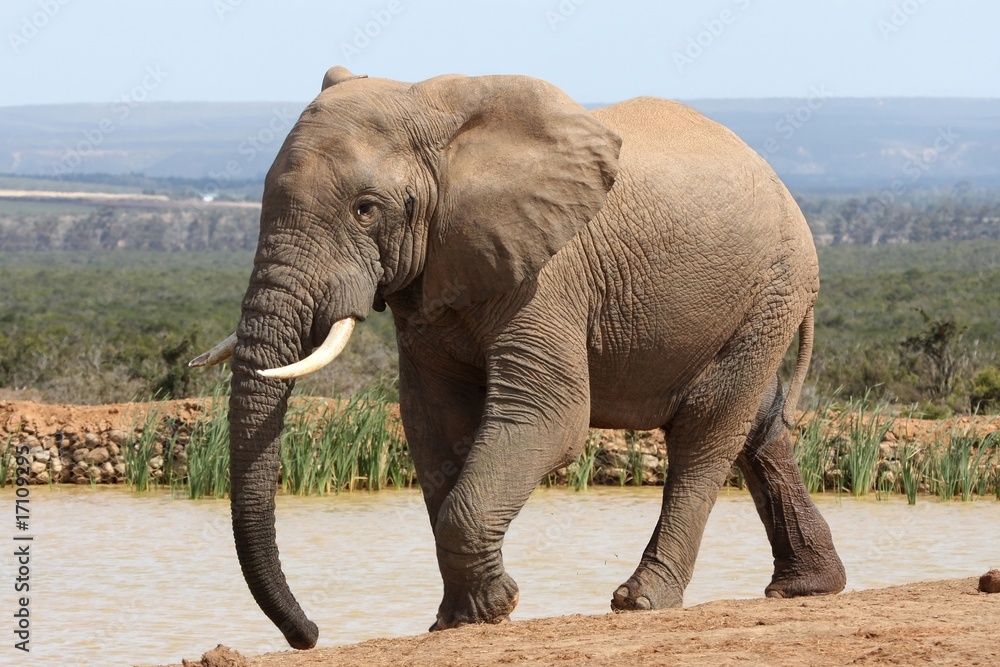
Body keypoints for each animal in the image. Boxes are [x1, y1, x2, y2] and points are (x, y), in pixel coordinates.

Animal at [190, 65, 846, 649]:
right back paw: (807, 588)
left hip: (770, 290)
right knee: (757, 426)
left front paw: (493, 607)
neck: (438, 118)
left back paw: (642, 601)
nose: (310, 635)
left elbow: (549, 417)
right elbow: (432, 422)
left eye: (366, 209)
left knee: (706, 433)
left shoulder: (547, 271)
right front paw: (460, 619)